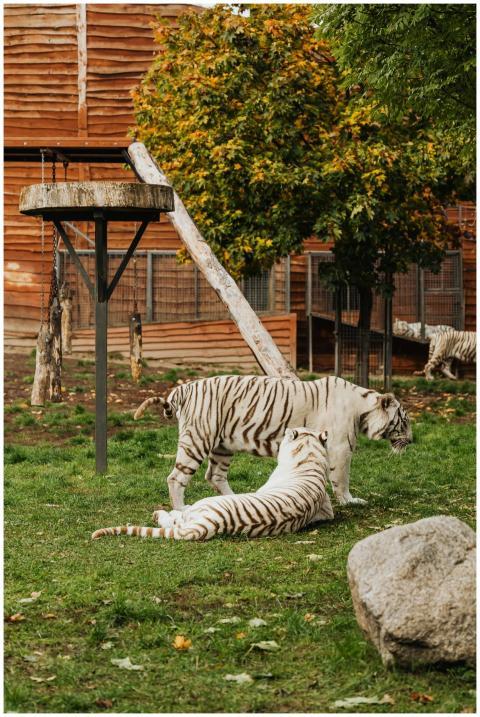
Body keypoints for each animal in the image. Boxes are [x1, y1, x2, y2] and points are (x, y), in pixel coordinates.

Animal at [92, 428, 333, 542]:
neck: (310, 455)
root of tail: (212, 523)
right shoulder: (327, 509)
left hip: (202, 505)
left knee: (175, 519)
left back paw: (160, 512)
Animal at [133, 375, 412, 511]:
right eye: (405, 420)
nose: (411, 441)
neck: (363, 410)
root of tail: (184, 388)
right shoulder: (341, 449)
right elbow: (342, 480)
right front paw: (350, 501)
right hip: (197, 440)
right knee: (175, 478)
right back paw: (181, 509)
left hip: (223, 446)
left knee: (214, 476)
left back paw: (236, 499)